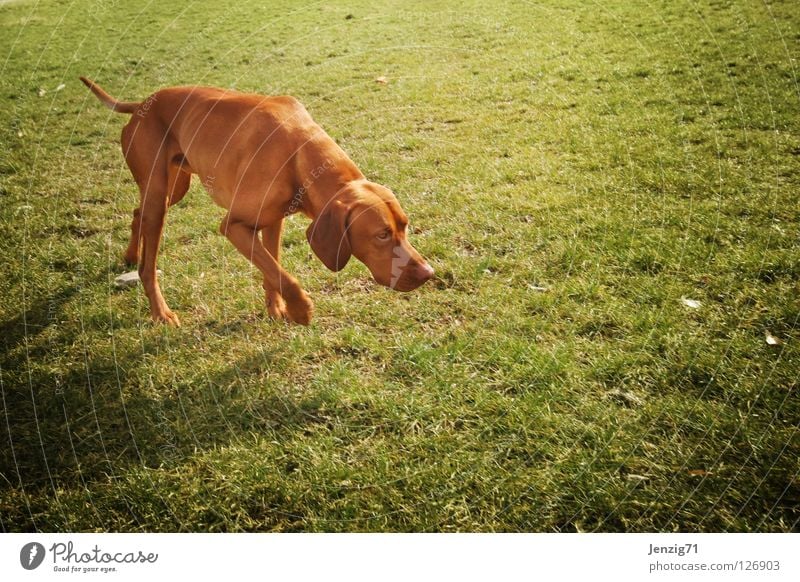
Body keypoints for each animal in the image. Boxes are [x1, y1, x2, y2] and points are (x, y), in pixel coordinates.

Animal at [79, 76, 432, 328]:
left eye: (405, 227)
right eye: (382, 235)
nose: (428, 273)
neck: (299, 154)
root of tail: (142, 103)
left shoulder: (273, 221)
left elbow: (272, 266)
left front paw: (277, 308)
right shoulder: (233, 225)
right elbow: (283, 274)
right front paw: (301, 310)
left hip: (172, 188)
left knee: (137, 212)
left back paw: (129, 255)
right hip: (158, 195)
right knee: (148, 266)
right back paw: (160, 311)